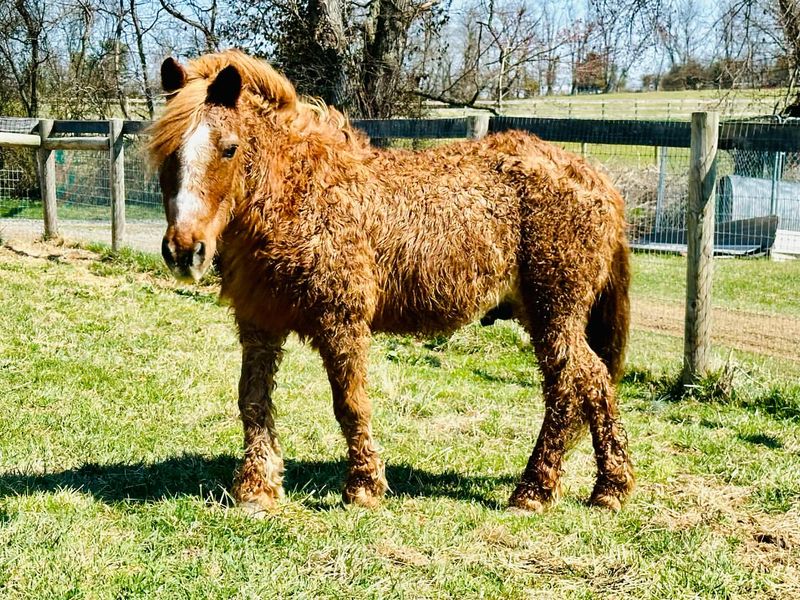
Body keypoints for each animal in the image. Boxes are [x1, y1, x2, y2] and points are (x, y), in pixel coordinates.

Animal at [150, 49, 636, 512]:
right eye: (167, 151)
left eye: (229, 148)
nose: (184, 250)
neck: (300, 194)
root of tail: (596, 180)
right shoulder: (260, 323)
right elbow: (252, 402)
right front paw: (257, 489)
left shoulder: (341, 321)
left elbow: (350, 404)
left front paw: (363, 488)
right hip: (540, 314)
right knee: (588, 384)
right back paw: (599, 488)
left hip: (555, 312)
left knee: (575, 386)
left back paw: (546, 490)